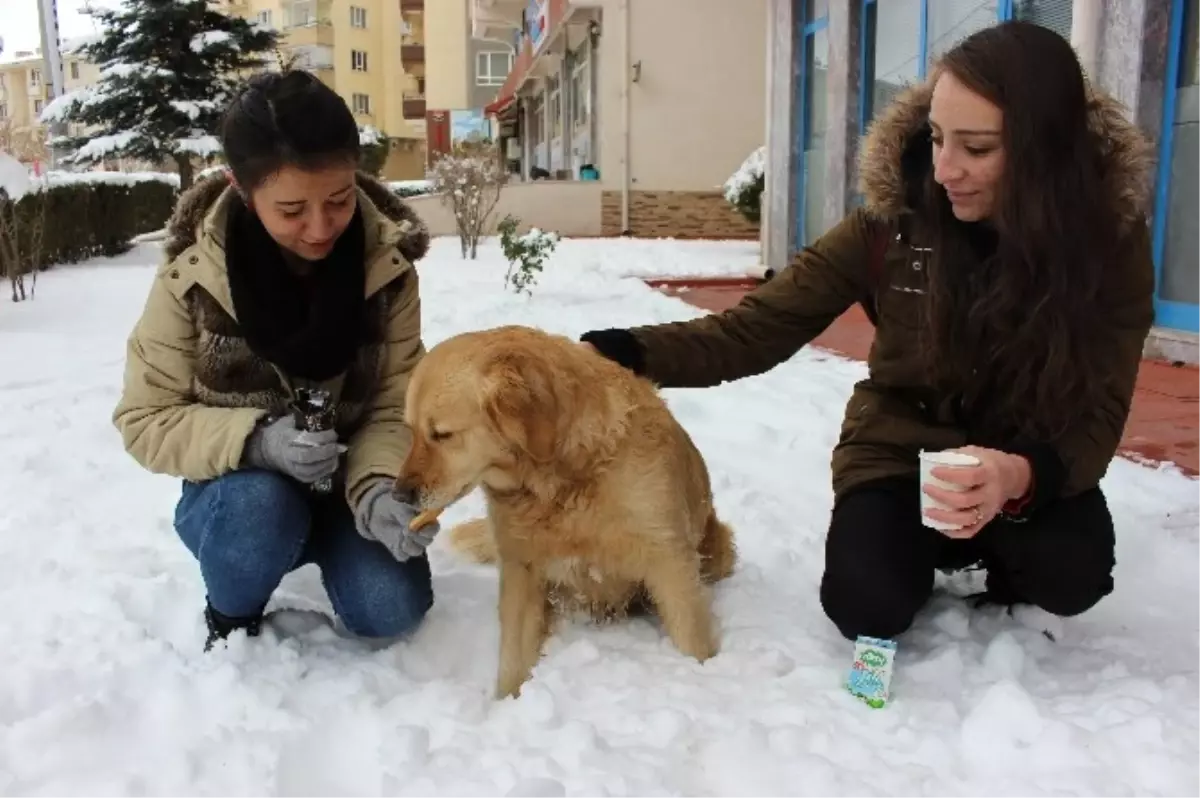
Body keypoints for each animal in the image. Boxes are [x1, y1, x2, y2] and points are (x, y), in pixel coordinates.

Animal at [391, 324, 729, 696]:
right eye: (411, 430)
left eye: (442, 434)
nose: (399, 495)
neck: (561, 483)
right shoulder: (520, 568)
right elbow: (513, 659)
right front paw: (506, 703)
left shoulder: (669, 559)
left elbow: (691, 639)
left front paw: (701, 676)